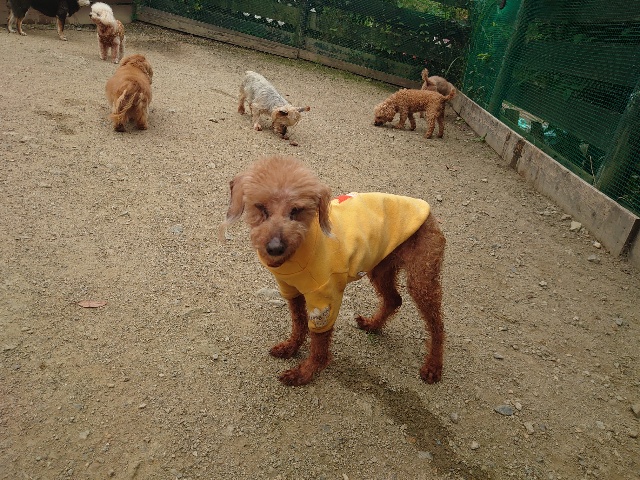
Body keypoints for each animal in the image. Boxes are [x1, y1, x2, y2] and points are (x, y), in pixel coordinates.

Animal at [221, 155, 446, 386]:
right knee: (394, 299)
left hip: (421, 278)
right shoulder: (291, 290)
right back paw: (373, 325)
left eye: (296, 210)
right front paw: (291, 347)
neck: (299, 248)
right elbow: (298, 322)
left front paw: (305, 372)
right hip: (381, 267)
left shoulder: (324, 297)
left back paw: (433, 366)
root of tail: (426, 210)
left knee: (437, 325)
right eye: (260, 207)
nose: (275, 248)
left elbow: (319, 341)